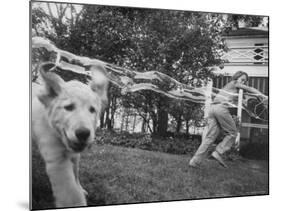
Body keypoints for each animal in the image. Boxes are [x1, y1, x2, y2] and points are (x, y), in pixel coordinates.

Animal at [31, 62, 107, 208]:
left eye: (92, 110)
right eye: (69, 107)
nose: (83, 134)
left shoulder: (75, 155)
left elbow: (75, 174)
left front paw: (81, 189)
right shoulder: (57, 160)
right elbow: (71, 194)